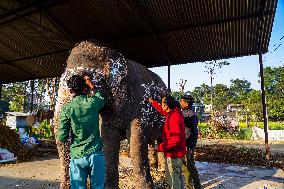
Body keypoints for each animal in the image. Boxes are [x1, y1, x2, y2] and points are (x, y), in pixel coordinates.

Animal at [54, 40, 168, 188]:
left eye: (83, 79)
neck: (108, 51)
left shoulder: (141, 108)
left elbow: (136, 144)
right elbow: (108, 141)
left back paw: (163, 170)